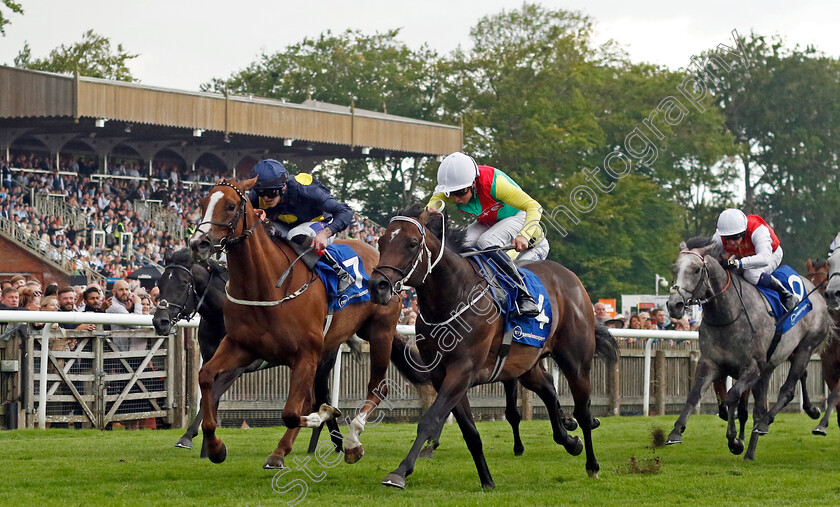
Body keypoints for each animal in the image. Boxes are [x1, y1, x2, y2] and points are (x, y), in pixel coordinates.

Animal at [188, 181, 404, 470]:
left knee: (377, 387)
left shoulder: (306, 353)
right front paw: (215, 447)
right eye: (202, 203)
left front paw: (324, 415)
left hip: (380, 332)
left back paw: (351, 442)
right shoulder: (240, 346)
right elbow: (206, 377)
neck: (267, 286)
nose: (198, 243)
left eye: (231, 206)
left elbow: (293, 411)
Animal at [368, 205, 616, 488]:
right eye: (381, 241)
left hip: (575, 362)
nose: (377, 286)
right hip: (526, 366)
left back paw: (592, 464)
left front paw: (400, 472)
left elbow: (430, 419)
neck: (454, 297)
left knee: (583, 411)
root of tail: (572, 278)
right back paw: (569, 440)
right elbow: (470, 432)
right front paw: (487, 480)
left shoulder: (462, 370)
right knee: (548, 389)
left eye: (411, 243)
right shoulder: (443, 375)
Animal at [664, 237, 832, 460]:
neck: (728, 315)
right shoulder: (710, 362)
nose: (674, 305)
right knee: (773, 396)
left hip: (806, 346)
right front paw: (676, 432)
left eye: (696, 269)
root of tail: (817, 293)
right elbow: (695, 394)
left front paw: (734, 439)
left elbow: (732, 397)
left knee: (787, 391)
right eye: (675, 268)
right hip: (778, 361)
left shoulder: (752, 367)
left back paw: (767, 423)